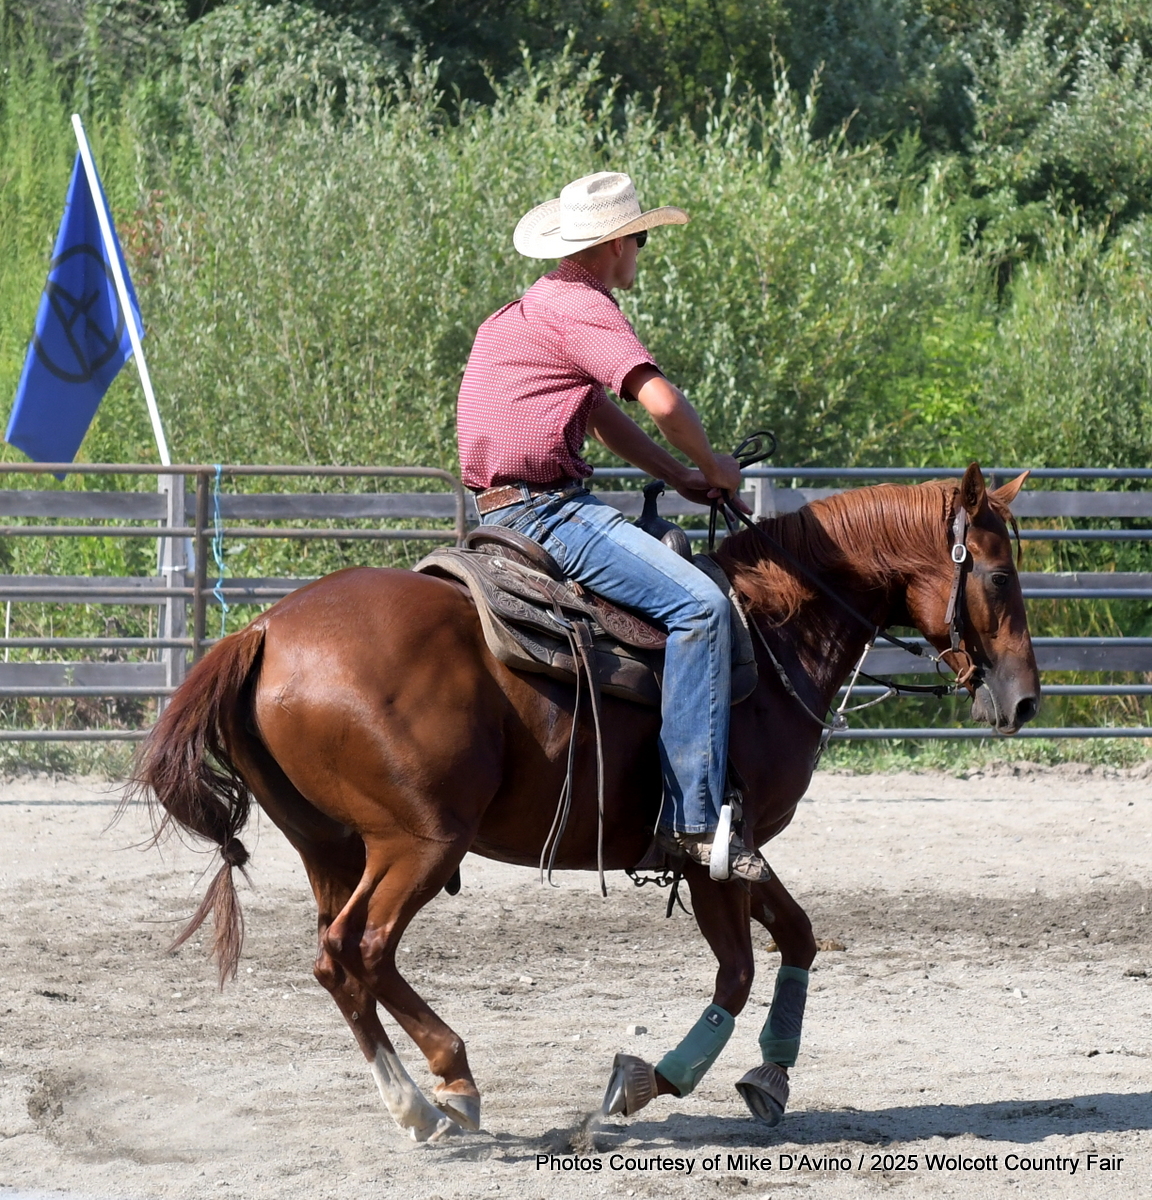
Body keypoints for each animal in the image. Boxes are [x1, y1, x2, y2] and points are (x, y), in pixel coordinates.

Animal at [131, 462, 1039, 1141]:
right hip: (417, 844)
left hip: (329, 846)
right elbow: (739, 969)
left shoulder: (736, 852)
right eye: (1000, 575)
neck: (773, 631)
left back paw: (417, 1099)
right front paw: (647, 1081)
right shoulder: (711, 850)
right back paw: (449, 1085)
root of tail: (263, 632)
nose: (1024, 700)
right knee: (359, 950)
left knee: (341, 963)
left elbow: (799, 936)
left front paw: (772, 1073)